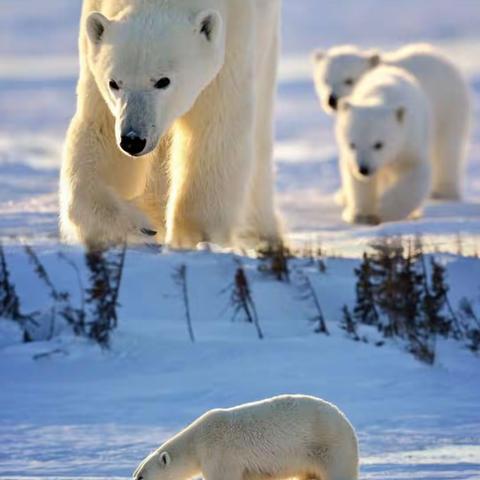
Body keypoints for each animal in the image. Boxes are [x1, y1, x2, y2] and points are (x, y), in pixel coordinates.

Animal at [62, 0, 284, 251]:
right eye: (114, 83)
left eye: (163, 81)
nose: (133, 140)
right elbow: (100, 133)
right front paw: (138, 226)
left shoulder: (234, 44)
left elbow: (213, 132)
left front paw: (192, 238)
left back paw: (263, 235)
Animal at [133, 394, 358, 480]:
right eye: (136, 474)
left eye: (142, 476)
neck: (197, 442)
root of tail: (347, 422)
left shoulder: (220, 455)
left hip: (329, 448)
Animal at [314, 44, 470, 201]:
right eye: (325, 80)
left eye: (349, 80)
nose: (331, 100)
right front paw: (343, 196)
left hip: (449, 108)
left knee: (447, 148)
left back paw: (444, 192)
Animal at [336, 64, 434, 226]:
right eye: (352, 144)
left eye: (378, 144)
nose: (363, 169)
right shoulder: (350, 158)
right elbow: (358, 183)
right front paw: (361, 215)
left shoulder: (409, 143)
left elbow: (415, 175)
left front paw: (384, 209)